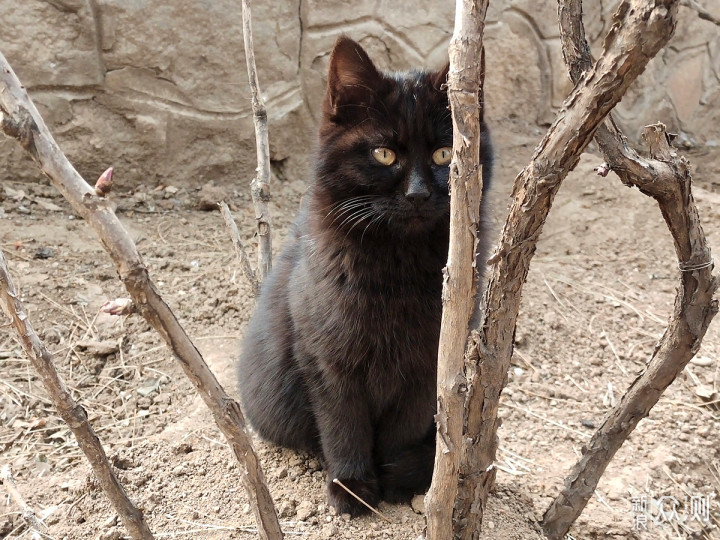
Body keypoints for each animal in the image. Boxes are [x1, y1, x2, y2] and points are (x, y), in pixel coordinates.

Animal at [239, 35, 492, 516]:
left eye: (444, 153)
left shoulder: (429, 363)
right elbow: (344, 425)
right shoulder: (327, 360)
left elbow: (403, 428)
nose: (418, 194)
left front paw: (394, 478)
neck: (398, 265)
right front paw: (353, 486)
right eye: (384, 153)